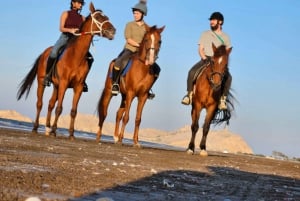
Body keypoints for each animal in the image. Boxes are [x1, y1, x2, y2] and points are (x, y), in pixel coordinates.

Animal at [16, 2, 116, 139]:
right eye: (98, 17)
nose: (113, 31)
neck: (76, 56)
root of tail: (44, 53)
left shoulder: (78, 87)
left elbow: (73, 111)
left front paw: (71, 134)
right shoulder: (64, 83)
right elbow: (59, 108)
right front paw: (54, 131)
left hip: (56, 86)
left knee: (50, 104)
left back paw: (47, 128)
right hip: (42, 83)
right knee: (40, 103)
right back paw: (36, 128)